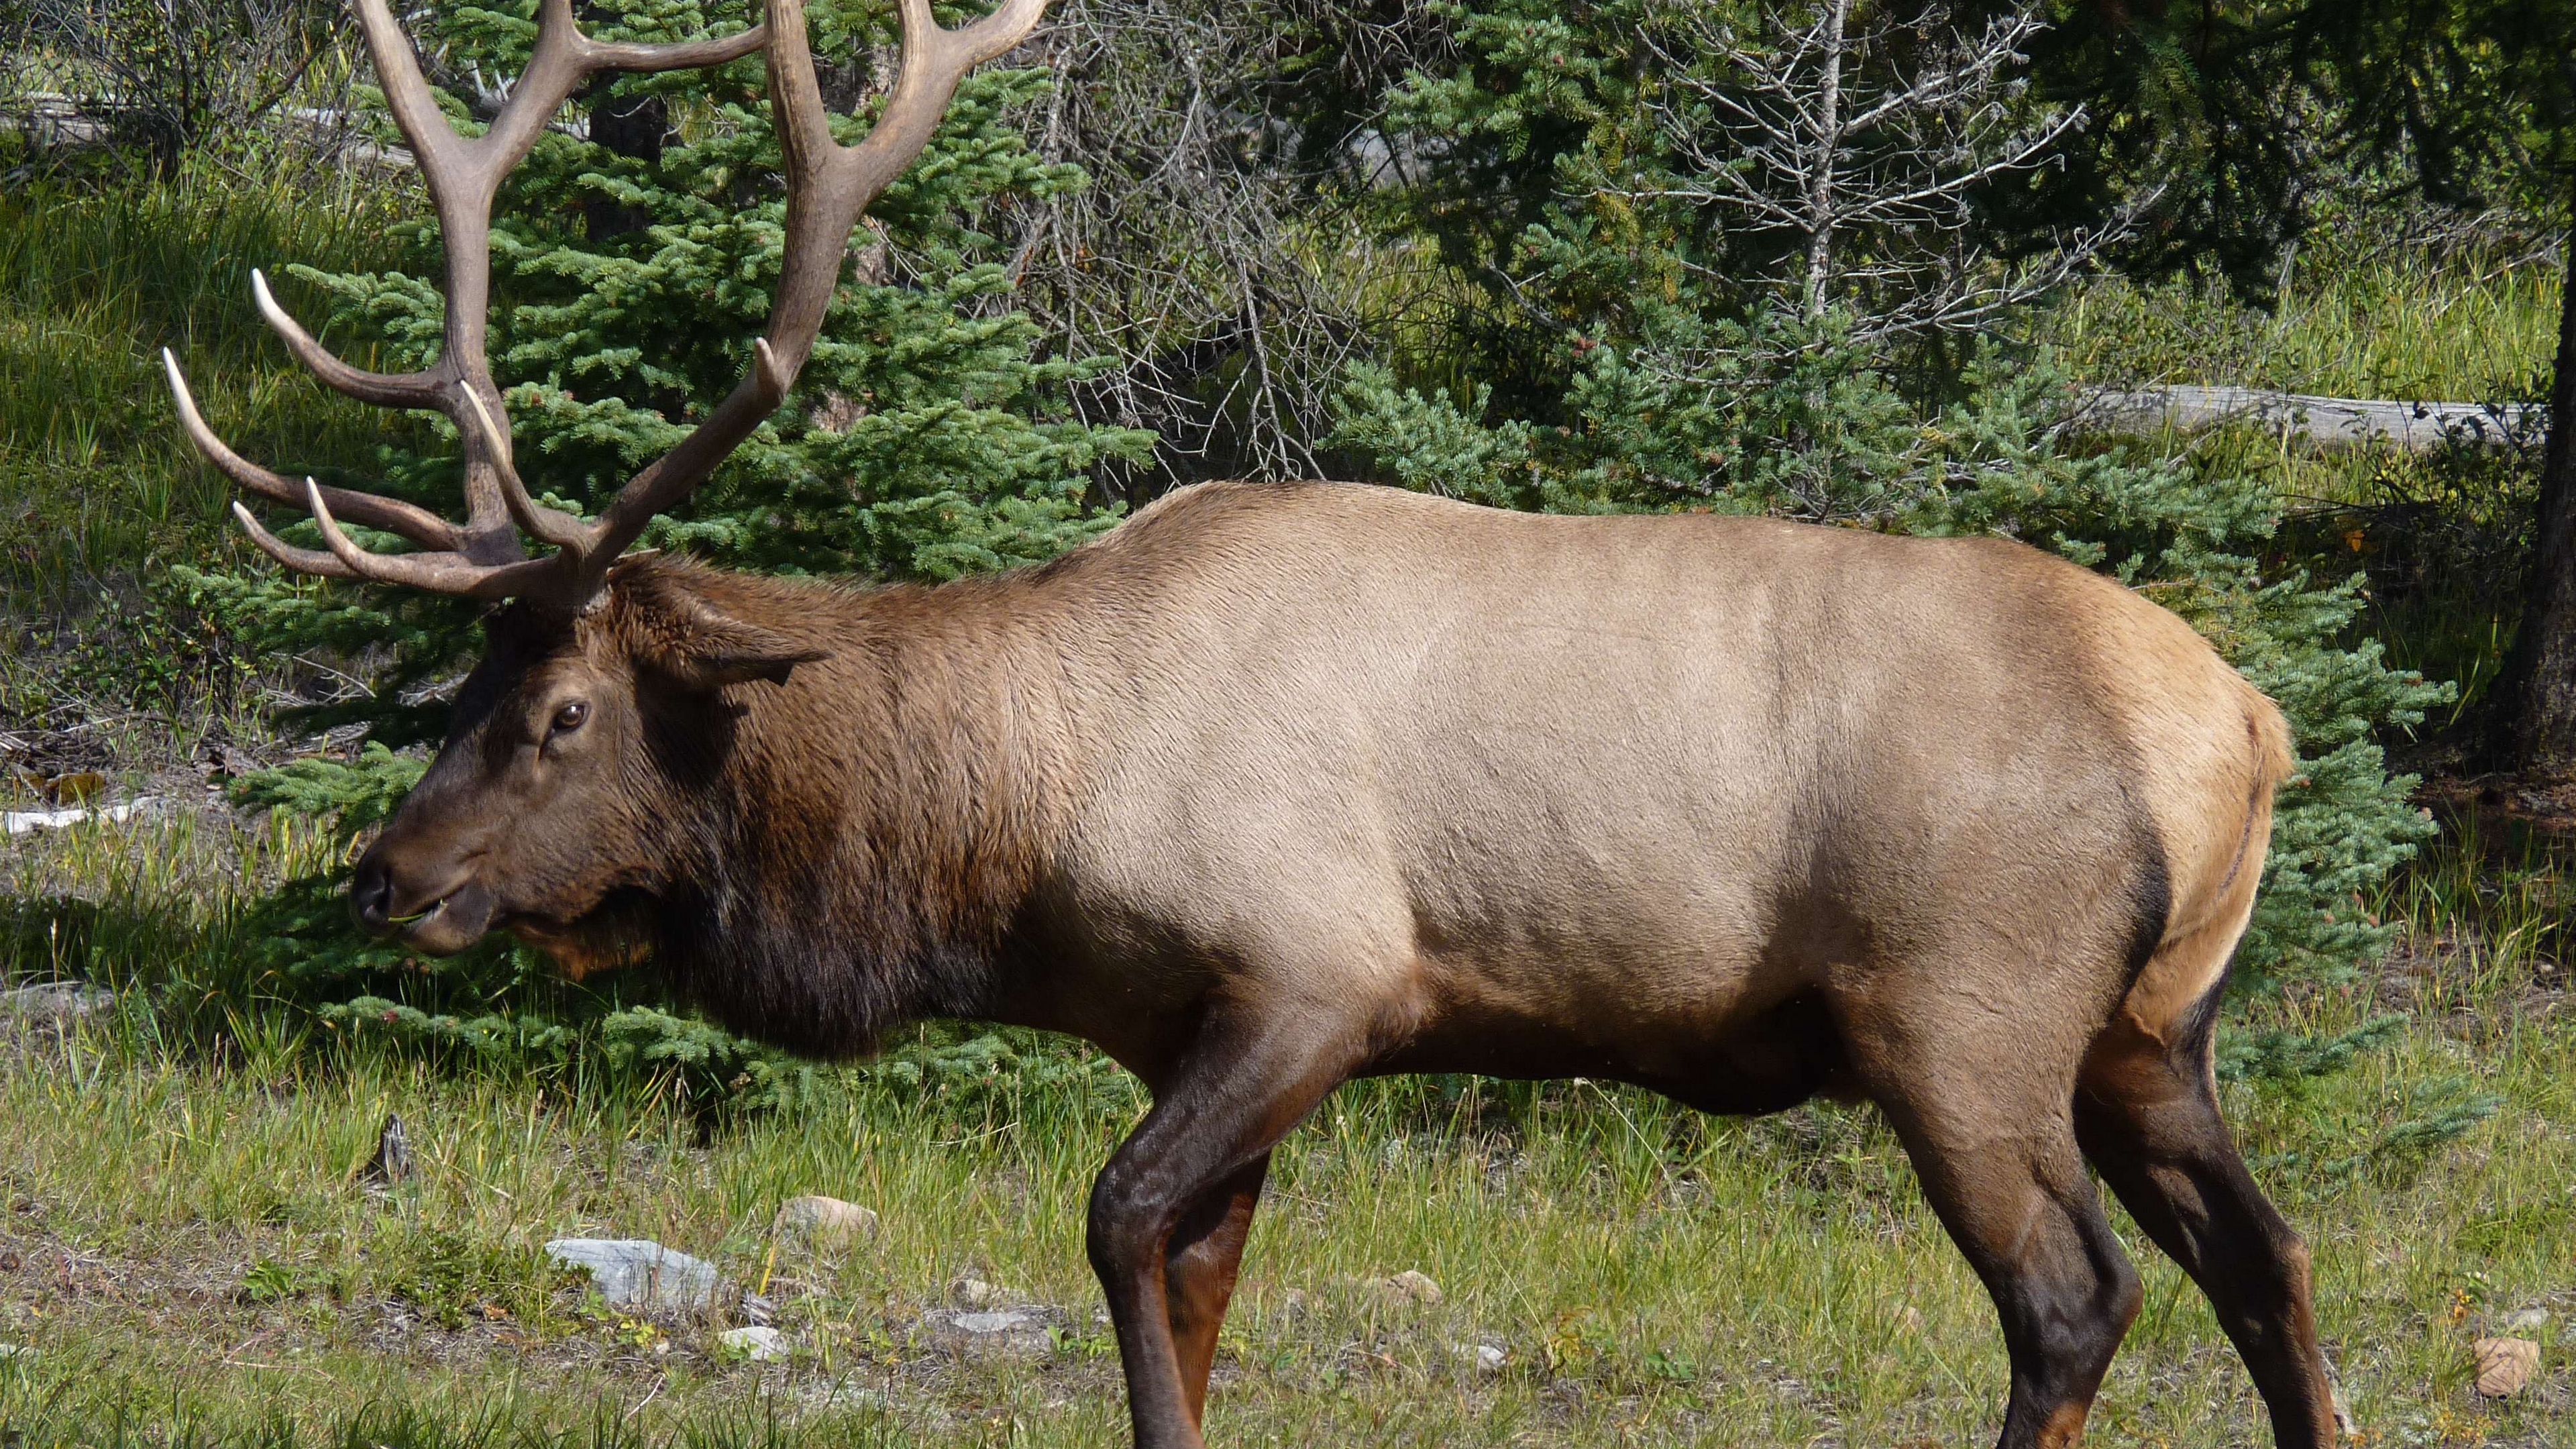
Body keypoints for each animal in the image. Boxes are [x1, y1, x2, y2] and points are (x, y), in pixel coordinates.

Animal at [161, 3, 2339, 1444]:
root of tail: (2241, 723)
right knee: (2266, 1262)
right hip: (2147, 1033)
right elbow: (1193, 1279)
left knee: (2073, 1299)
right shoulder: (1194, 1020)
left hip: (1957, 1010)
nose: (385, 876)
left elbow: (1120, 1226)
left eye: (560, 712)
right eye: (463, 685)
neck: (1013, 830)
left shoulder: (1321, 972)